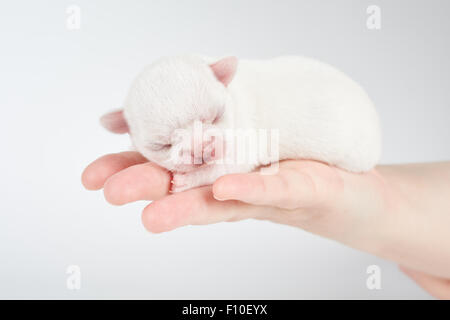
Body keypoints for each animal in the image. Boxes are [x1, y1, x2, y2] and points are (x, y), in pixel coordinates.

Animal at [101, 55, 380, 192]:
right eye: (162, 145)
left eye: (216, 116)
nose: (202, 149)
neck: (232, 95)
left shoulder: (245, 141)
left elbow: (223, 167)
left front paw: (188, 181)